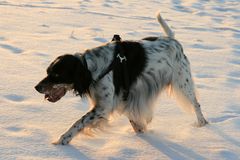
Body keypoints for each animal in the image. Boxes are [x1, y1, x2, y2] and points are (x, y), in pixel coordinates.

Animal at [34, 12, 207, 145]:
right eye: (47, 72)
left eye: (57, 75)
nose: (36, 87)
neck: (92, 67)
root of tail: (173, 40)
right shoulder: (123, 97)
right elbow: (134, 119)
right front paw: (142, 133)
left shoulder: (103, 106)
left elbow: (79, 122)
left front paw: (63, 139)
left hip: (182, 82)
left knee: (196, 104)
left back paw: (202, 124)